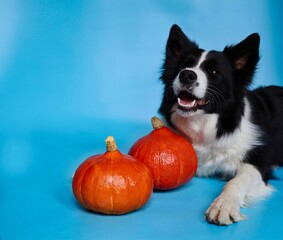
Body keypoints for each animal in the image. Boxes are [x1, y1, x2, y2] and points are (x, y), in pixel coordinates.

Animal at [160, 24, 283, 225]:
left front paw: (223, 205)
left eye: (214, 73)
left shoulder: (258, 162)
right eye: (183, 66)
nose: (186, 74)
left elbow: (236, 181)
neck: (206, 126)